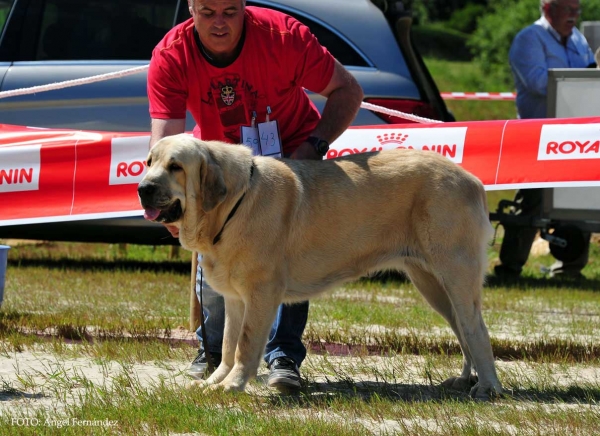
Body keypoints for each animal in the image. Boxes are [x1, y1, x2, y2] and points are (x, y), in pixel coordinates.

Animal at [138, 135, 504, 400]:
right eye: (149, 162)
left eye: (175, 166)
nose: (143, 188)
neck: (233, 203)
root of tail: (472, 179)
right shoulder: (236, 298)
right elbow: (228, 344)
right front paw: (214, 381)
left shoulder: (261, 295)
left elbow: (246, 344)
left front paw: (233, 384)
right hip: (431, 284)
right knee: (462, 331)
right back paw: (464, 380)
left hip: (456, 275)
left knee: (476, 329)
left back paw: (488, 387)